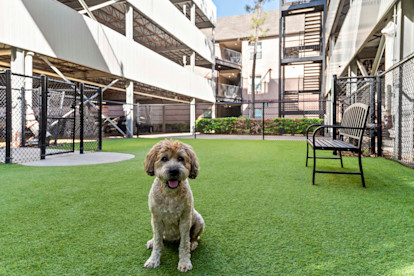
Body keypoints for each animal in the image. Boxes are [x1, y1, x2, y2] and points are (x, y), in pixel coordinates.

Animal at [144, 140, 205, 272]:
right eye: (164, 158)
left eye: (181, 158)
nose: (173, 171)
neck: (170, 195)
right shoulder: (156, 219)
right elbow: (157, 242)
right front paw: (153, 260)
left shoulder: (185, 220)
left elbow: (184, 244)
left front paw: (184, 262)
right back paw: (152, 241)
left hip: (198, 219)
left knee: (194, 237)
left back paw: (193, 243)